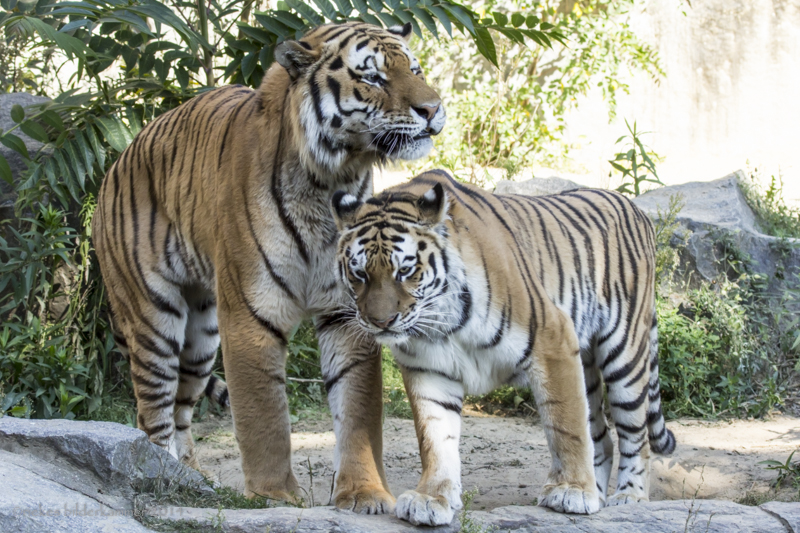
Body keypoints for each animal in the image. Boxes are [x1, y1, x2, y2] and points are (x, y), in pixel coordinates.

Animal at [94, 21, 446, 512]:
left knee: (182, 410)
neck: (331, 178)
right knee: (154, 415)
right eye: (373, 77)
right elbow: (264, 413)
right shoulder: (251, 311)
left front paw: (365, 493)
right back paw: (159, 476)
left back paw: (191, 480)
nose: (432, 108)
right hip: (153, 321)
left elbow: (358, 407)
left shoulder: (348, 310)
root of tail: (117, 162)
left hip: (201, 337)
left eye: (414, 69)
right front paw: (274, 494)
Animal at [332, 169, 676, 524]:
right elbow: (435, 437)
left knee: (636, 435)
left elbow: (566, 426)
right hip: (588, 368)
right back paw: (599, 493)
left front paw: (572, 491)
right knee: (603, 437)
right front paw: (431, 498)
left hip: (625, 354)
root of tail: (634, 207)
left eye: (405, 271)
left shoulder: (553, 340)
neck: (442, 319)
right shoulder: (428, 367)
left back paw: (628, 498)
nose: (381, 322)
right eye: (359, 274)